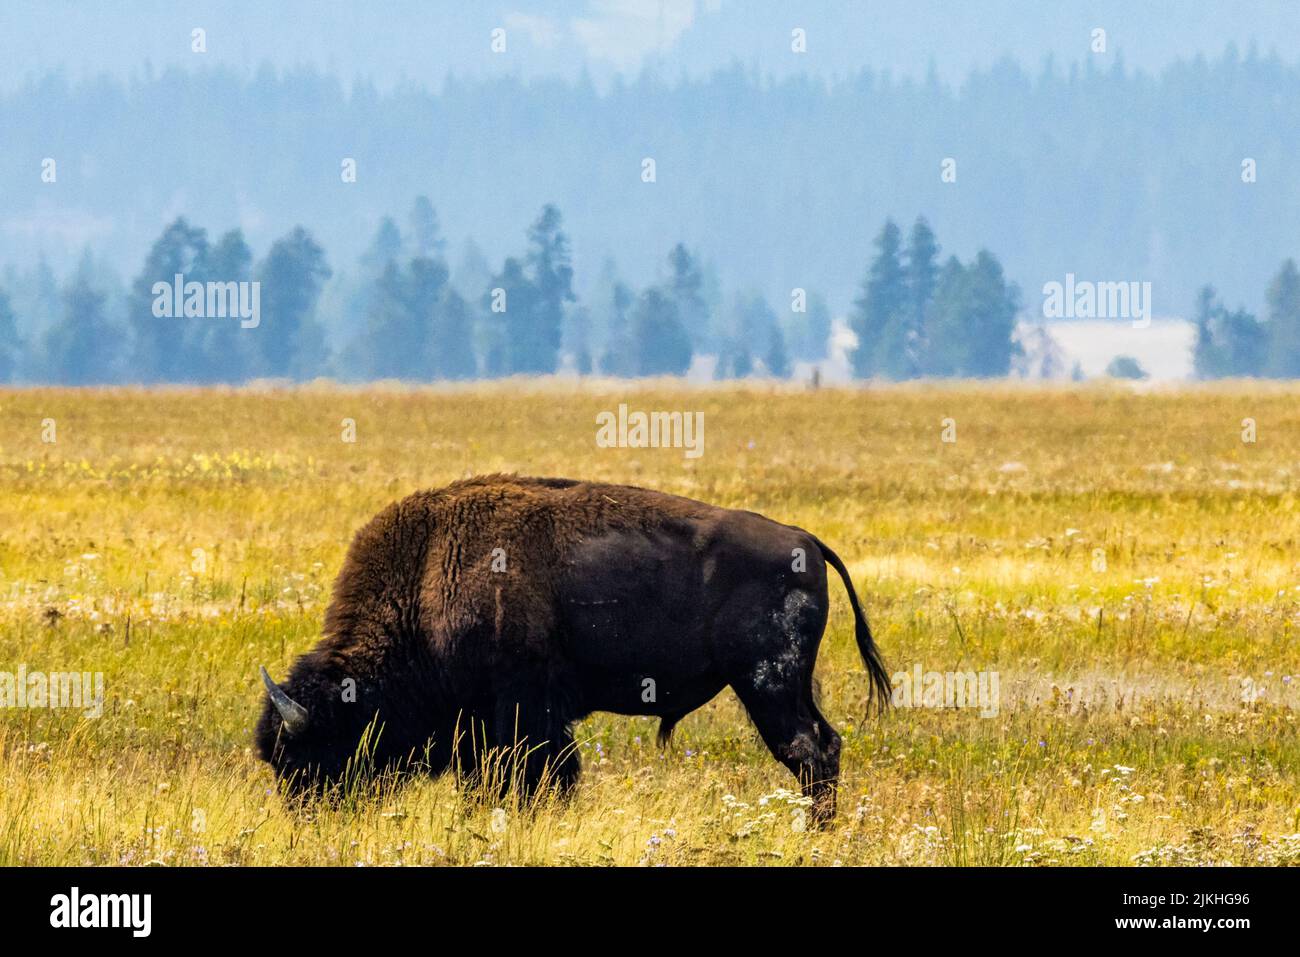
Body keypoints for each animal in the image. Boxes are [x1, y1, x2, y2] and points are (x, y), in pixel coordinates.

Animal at [256, 475, 889, 821]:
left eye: (312, 753)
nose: (306, 816)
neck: (429, 575)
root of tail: (805, 539)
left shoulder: (525, 709)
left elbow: (543, 774)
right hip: (791, 686)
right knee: (825, 746)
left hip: (767, 683)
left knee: (808, 752)